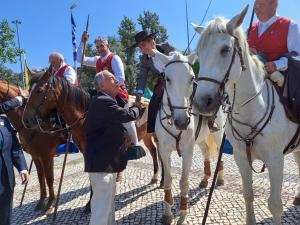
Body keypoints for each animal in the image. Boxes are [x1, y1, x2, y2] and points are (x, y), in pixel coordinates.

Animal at [0, 79, 65, 213]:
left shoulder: (46, 156)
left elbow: (49, 178)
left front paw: (49, 204)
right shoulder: (37, 157)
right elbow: (41, 178)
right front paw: (41, 202)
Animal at [155, 50, 225, 224]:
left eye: (192, 78)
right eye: (167, 78)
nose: (182, 122)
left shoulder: (187, 151)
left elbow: (184, 183)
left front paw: (182, 215)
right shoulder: (164, 151)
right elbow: (168, 180)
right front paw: (167, 214)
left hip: (218, 134)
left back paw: (219, 179)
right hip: (200, 140)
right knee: (206, 152)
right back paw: (205, 179)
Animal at [192, 5, 300, 225]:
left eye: (225, 50)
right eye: (199, 53)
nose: (202, 102)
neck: (252, 109)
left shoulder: (276, 160)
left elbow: (275, 205)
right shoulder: (241, 158)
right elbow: (248, 194)